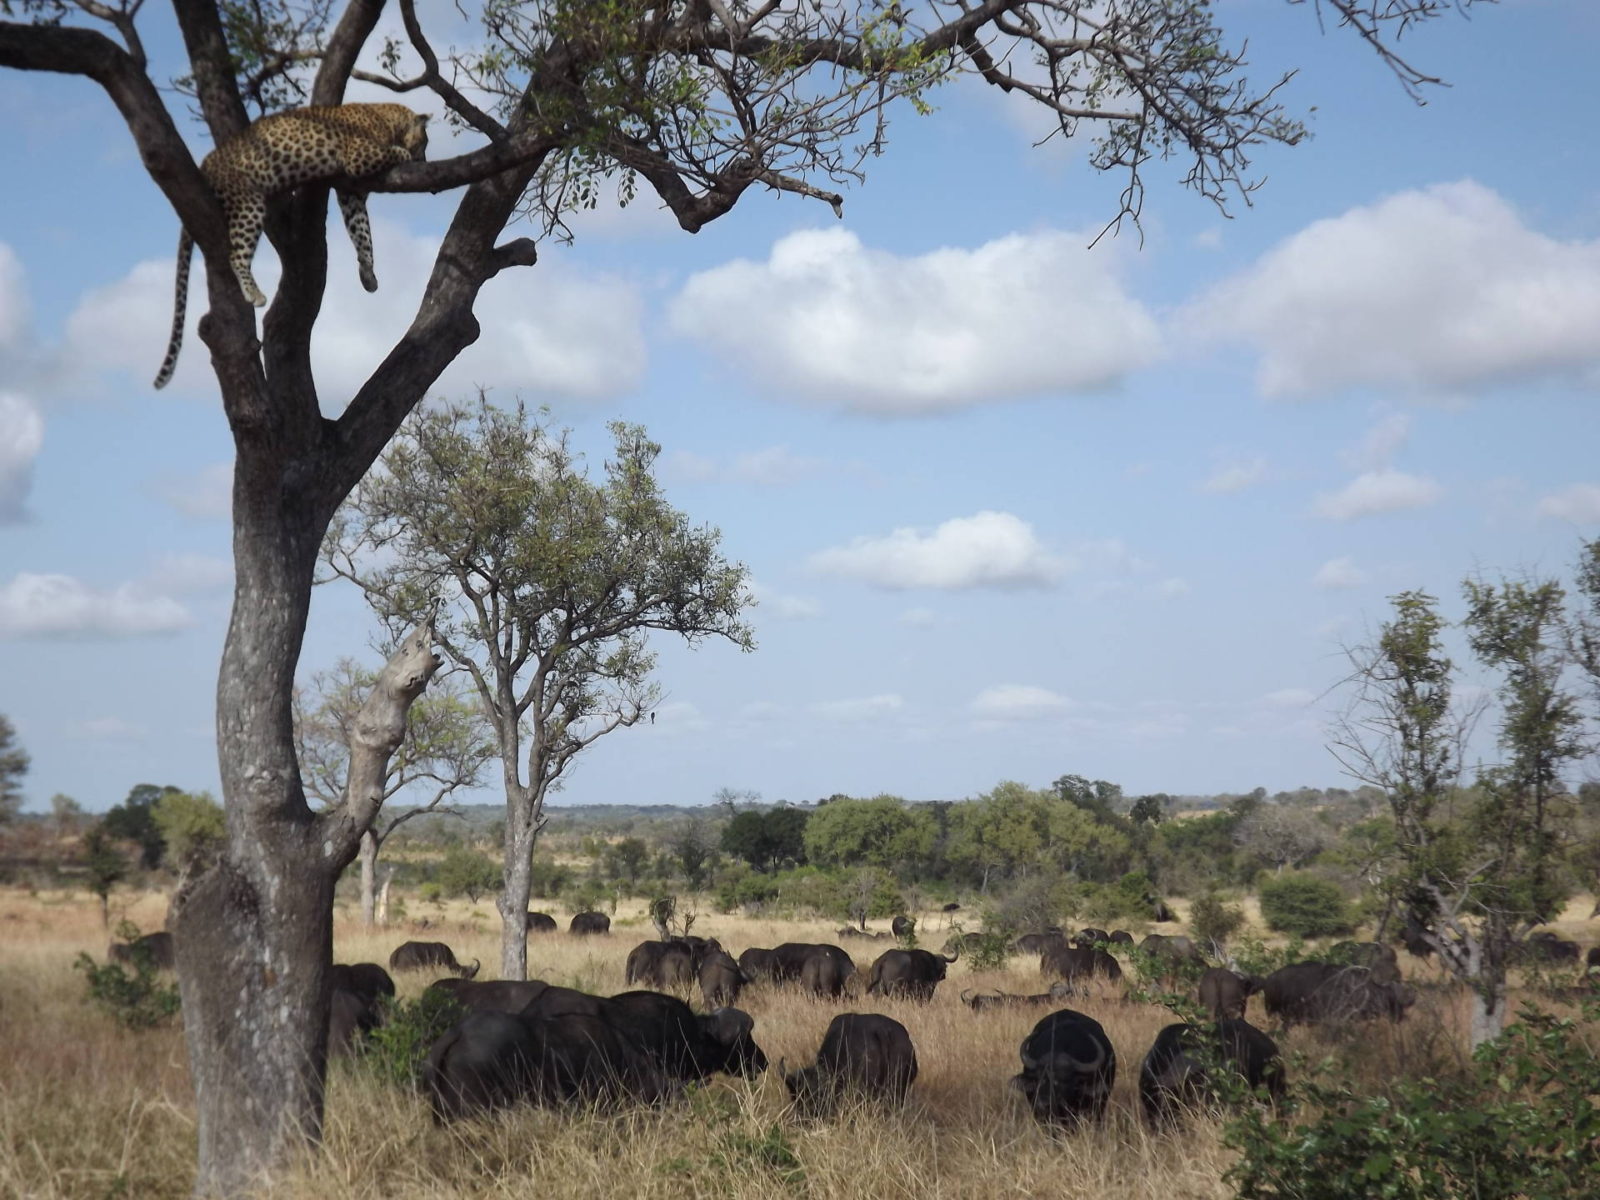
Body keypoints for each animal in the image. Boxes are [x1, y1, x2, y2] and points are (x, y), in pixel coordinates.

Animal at [154, 102, 432, 390]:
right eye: (425, 141)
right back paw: (254, 293)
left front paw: (368, 273)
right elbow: (390, 154)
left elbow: (362, 232)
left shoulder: (350, 193)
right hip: (249, 202)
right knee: (236, 254)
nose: (424, 162)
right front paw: (404, 154)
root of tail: (205, 166)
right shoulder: (360, 156)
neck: (388, 118)